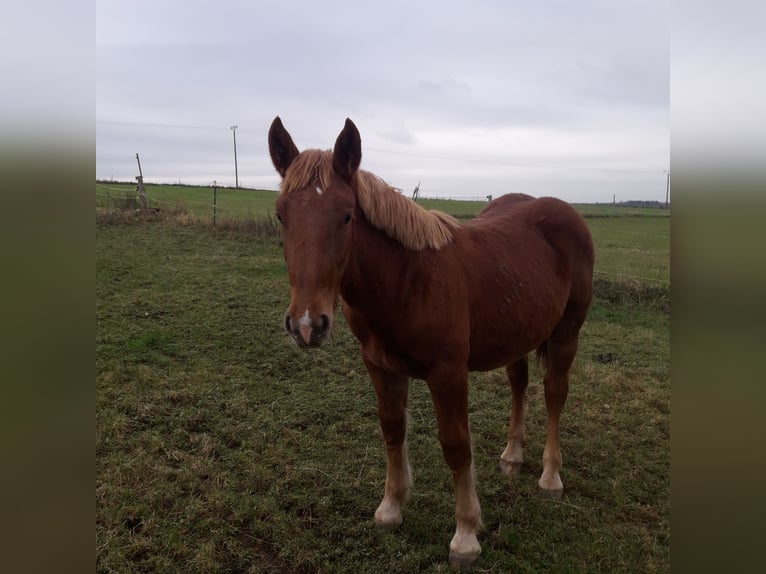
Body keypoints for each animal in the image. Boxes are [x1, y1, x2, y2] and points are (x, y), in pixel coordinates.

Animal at [268, 118, 596, 572]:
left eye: (347, 215)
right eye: (281, 214)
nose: (306, 324)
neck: (407, 278)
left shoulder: (448, 374)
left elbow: (456, 446)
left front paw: (466, 536)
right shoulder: (380, 366)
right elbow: (392, 429)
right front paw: (390, 509)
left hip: (566, 333)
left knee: (554, 394)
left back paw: (550, 477)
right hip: (517, 334)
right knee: (519, 384)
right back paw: (512, 456)